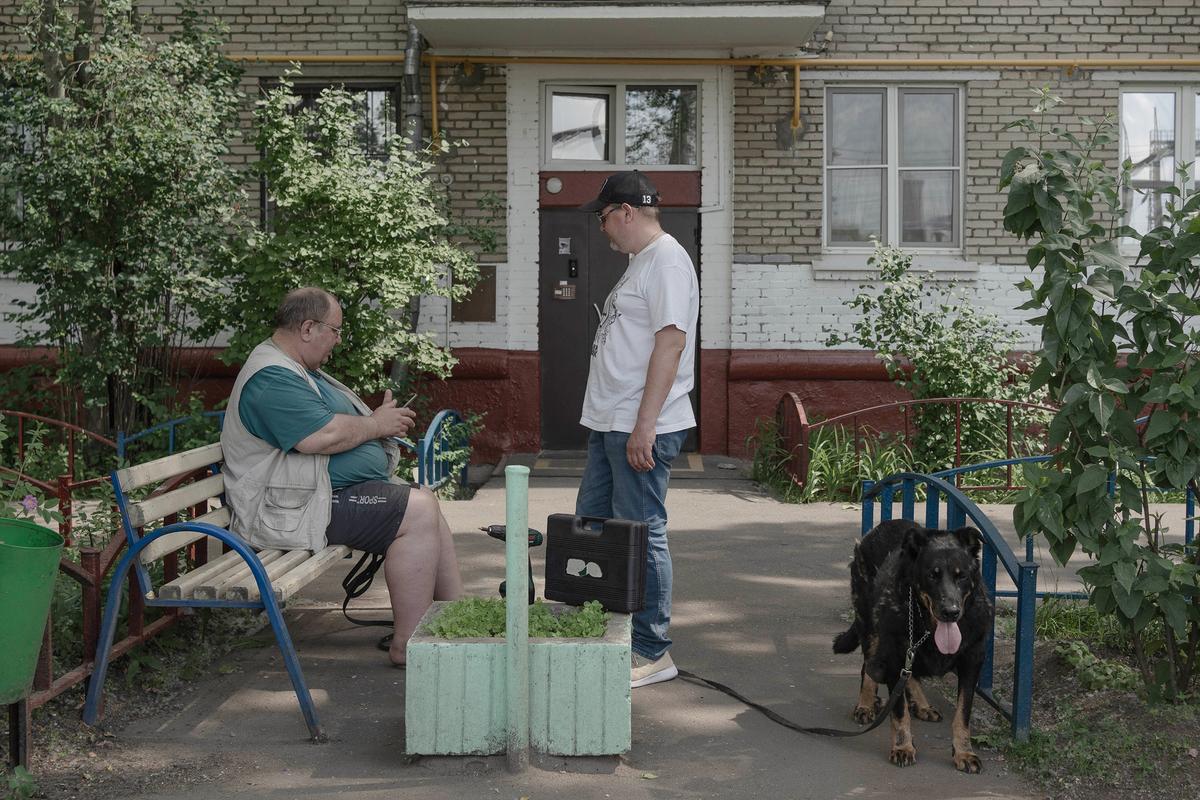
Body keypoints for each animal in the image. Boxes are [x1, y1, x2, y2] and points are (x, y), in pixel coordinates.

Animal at [835, 522, 993, 772]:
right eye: (932, 575)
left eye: (962, 576)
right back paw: (866, 704)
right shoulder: (894, 656)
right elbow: (900, 712)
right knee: (868, 666)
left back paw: (922, 704)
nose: (951, 612)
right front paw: (903, 746)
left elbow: (963, 713)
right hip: (868, 626)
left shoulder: (972, 660)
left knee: (909, 675)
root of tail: (876, 529)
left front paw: (964, 752)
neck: (928, 624)